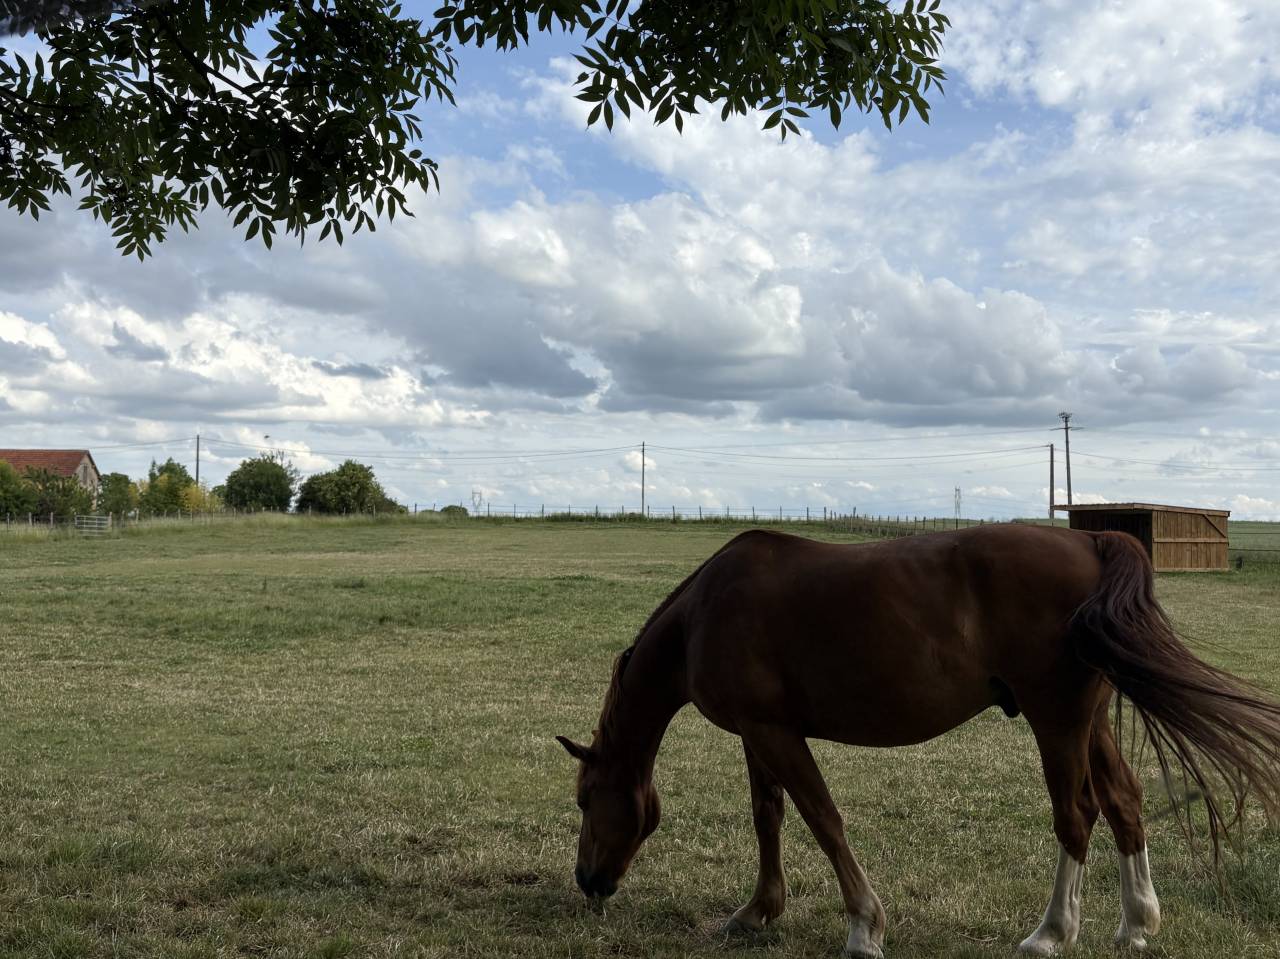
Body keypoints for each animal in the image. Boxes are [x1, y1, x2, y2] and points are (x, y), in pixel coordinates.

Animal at [556, 524, 1280, 956]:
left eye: (586, 798)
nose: (589, 880)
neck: (704, 614)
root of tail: (1091, 541)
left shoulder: (774, 732)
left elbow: (823, 818)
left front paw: (863, 926)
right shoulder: (758, 733)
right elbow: (770, 816)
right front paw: (759, 910)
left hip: (1056, 721)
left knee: (1076, 817)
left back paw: (1051, 932)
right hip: (1091, 722)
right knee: (1125, 801)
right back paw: (1136, 922)